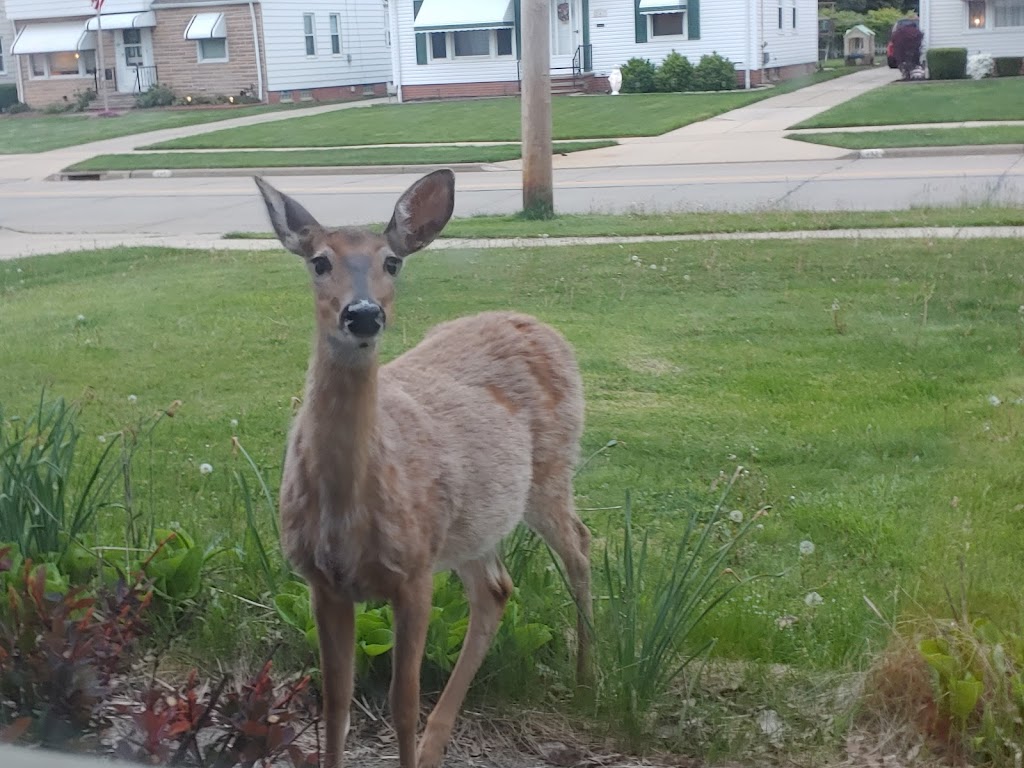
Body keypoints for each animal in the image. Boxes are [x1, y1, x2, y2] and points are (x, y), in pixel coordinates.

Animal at [254, 169, 593, 768]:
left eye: (392, 261)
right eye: (319, 261)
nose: (364, 314)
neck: (348, 507)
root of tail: (539, 324)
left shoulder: (413, 572)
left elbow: (402, 704)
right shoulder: (323, 581)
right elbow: (336, 702)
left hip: (550, 473)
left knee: (579, 545)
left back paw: (588, 682)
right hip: (473, 521)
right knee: (497, 588)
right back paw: (442, 742)